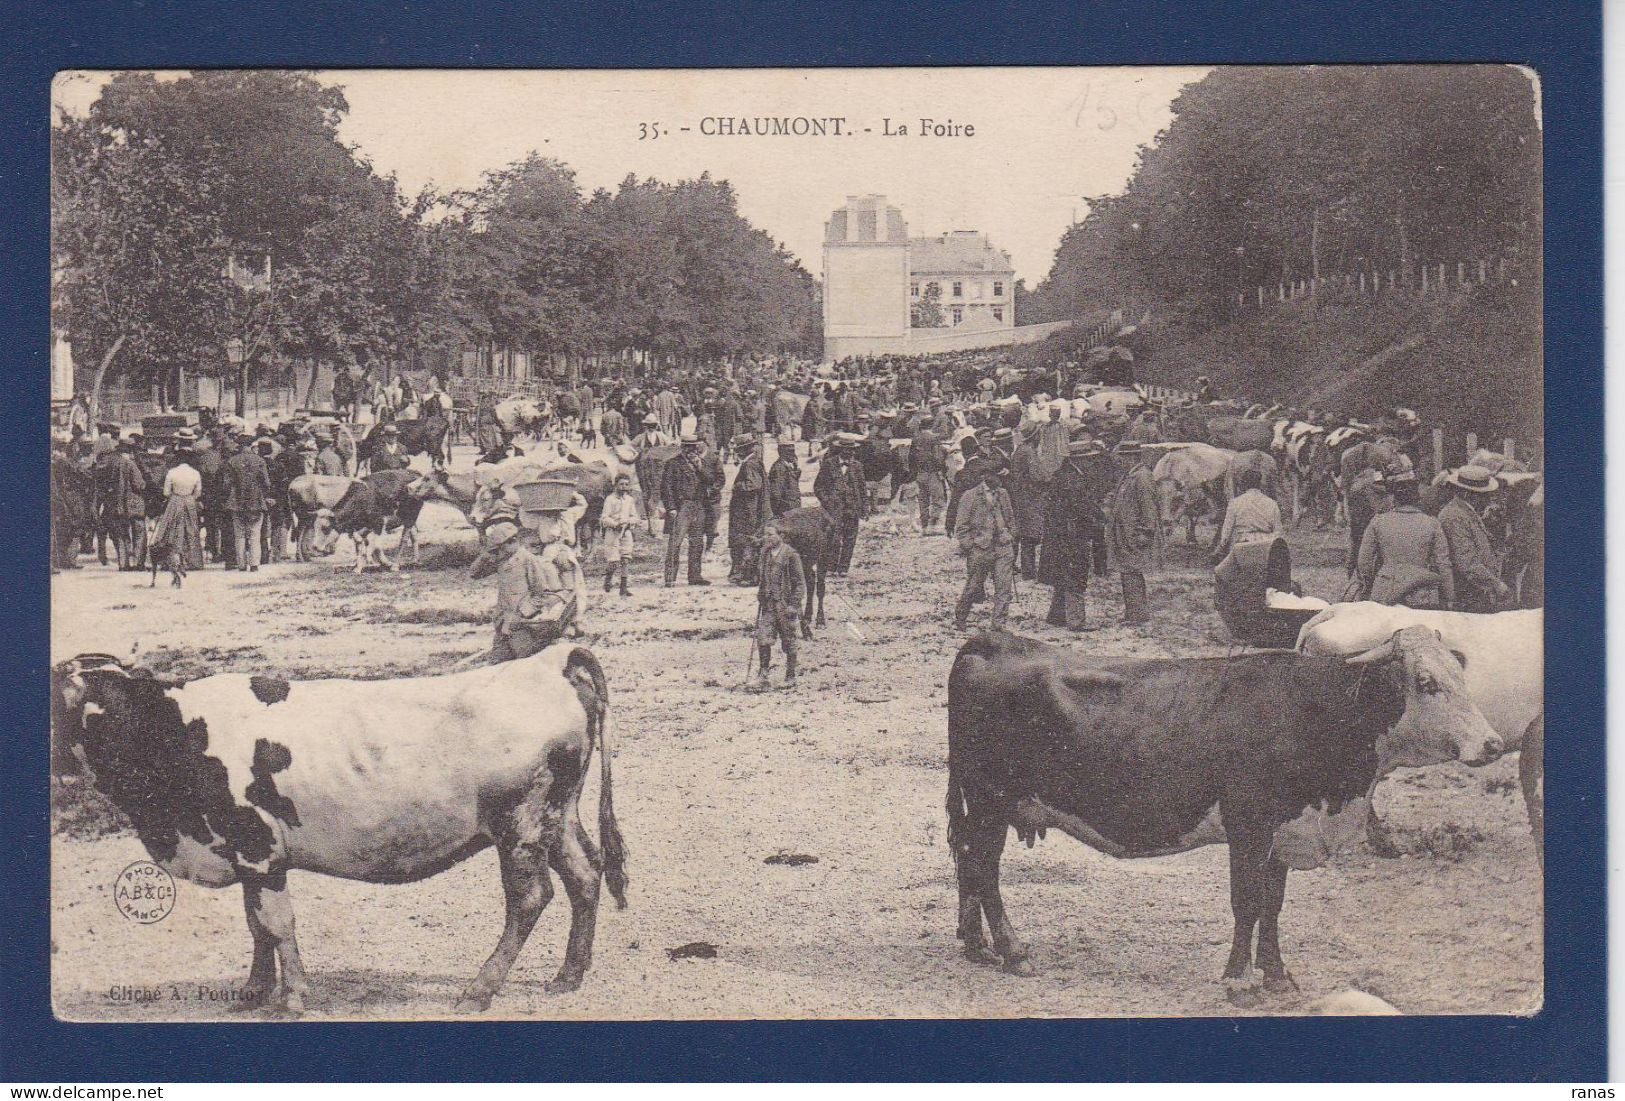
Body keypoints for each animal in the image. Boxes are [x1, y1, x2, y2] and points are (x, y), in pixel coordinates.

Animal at [949, 630, 1501, 993]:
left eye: (1460, 674)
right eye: (1426, 681)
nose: (1493, 744)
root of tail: (992, 640)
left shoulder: (1284, 831)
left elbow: (1273, 905)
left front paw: (1276, 976)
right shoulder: (1248, 825)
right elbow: (1247, 902)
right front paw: (1238, 979)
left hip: (983, 804)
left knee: (968, 862)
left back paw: (977, 946)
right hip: (992, 798)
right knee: (984, 869)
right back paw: (1013, 951)